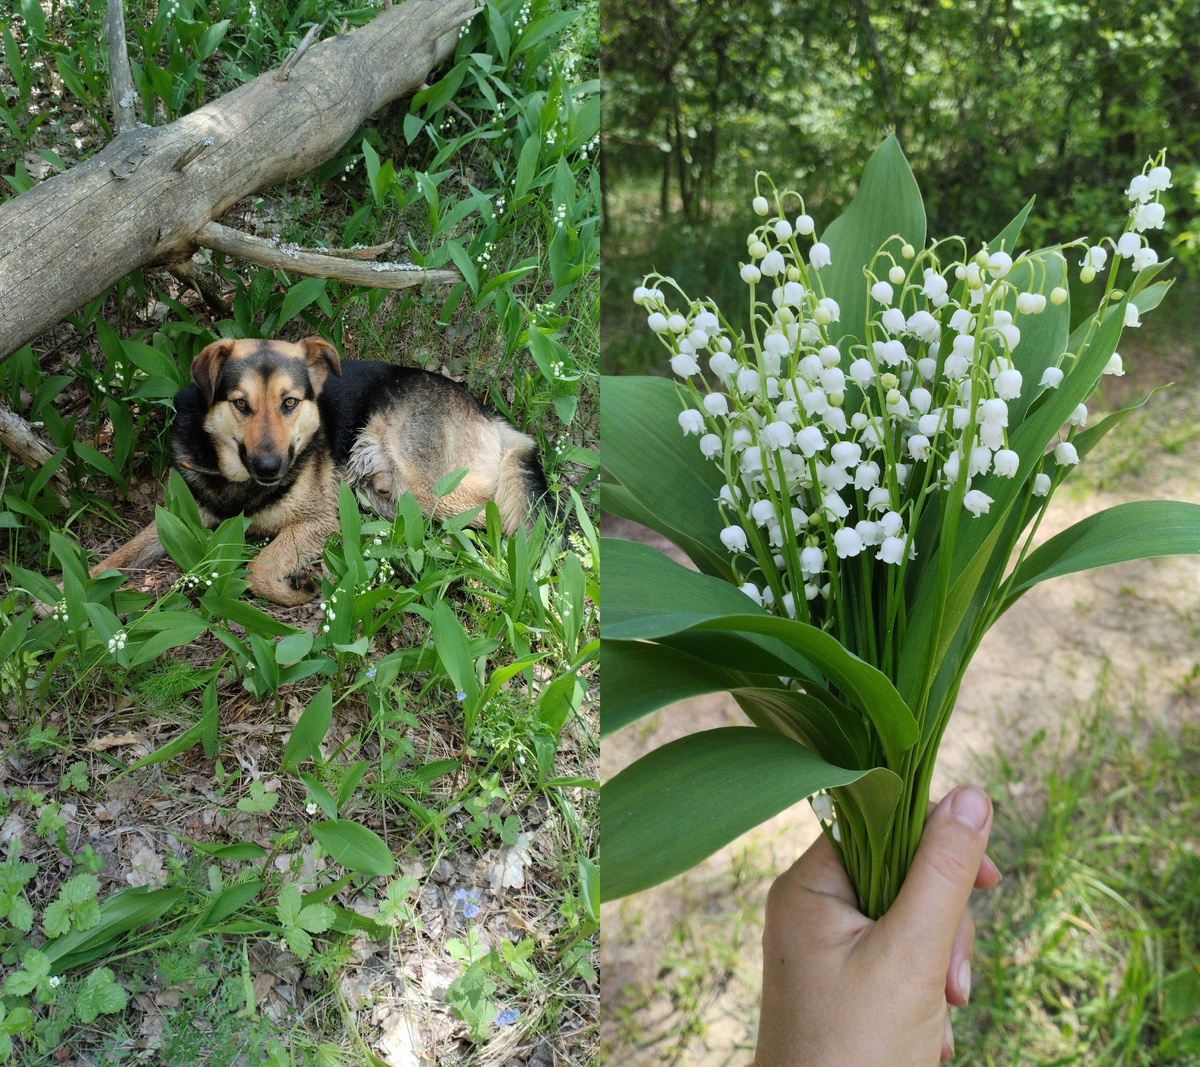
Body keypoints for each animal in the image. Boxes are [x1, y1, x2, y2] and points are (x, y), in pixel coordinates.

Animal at [87, 333, 549, 602]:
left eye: (290, 402)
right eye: (241, 404)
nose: (269, 466)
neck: (239, 482)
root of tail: (490, 415)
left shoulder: (322, 519)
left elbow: (258, 567)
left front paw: (295, 591)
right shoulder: (179, 518)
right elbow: (119, 555)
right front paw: (80, 591)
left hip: (423, 484)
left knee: (496, 514)